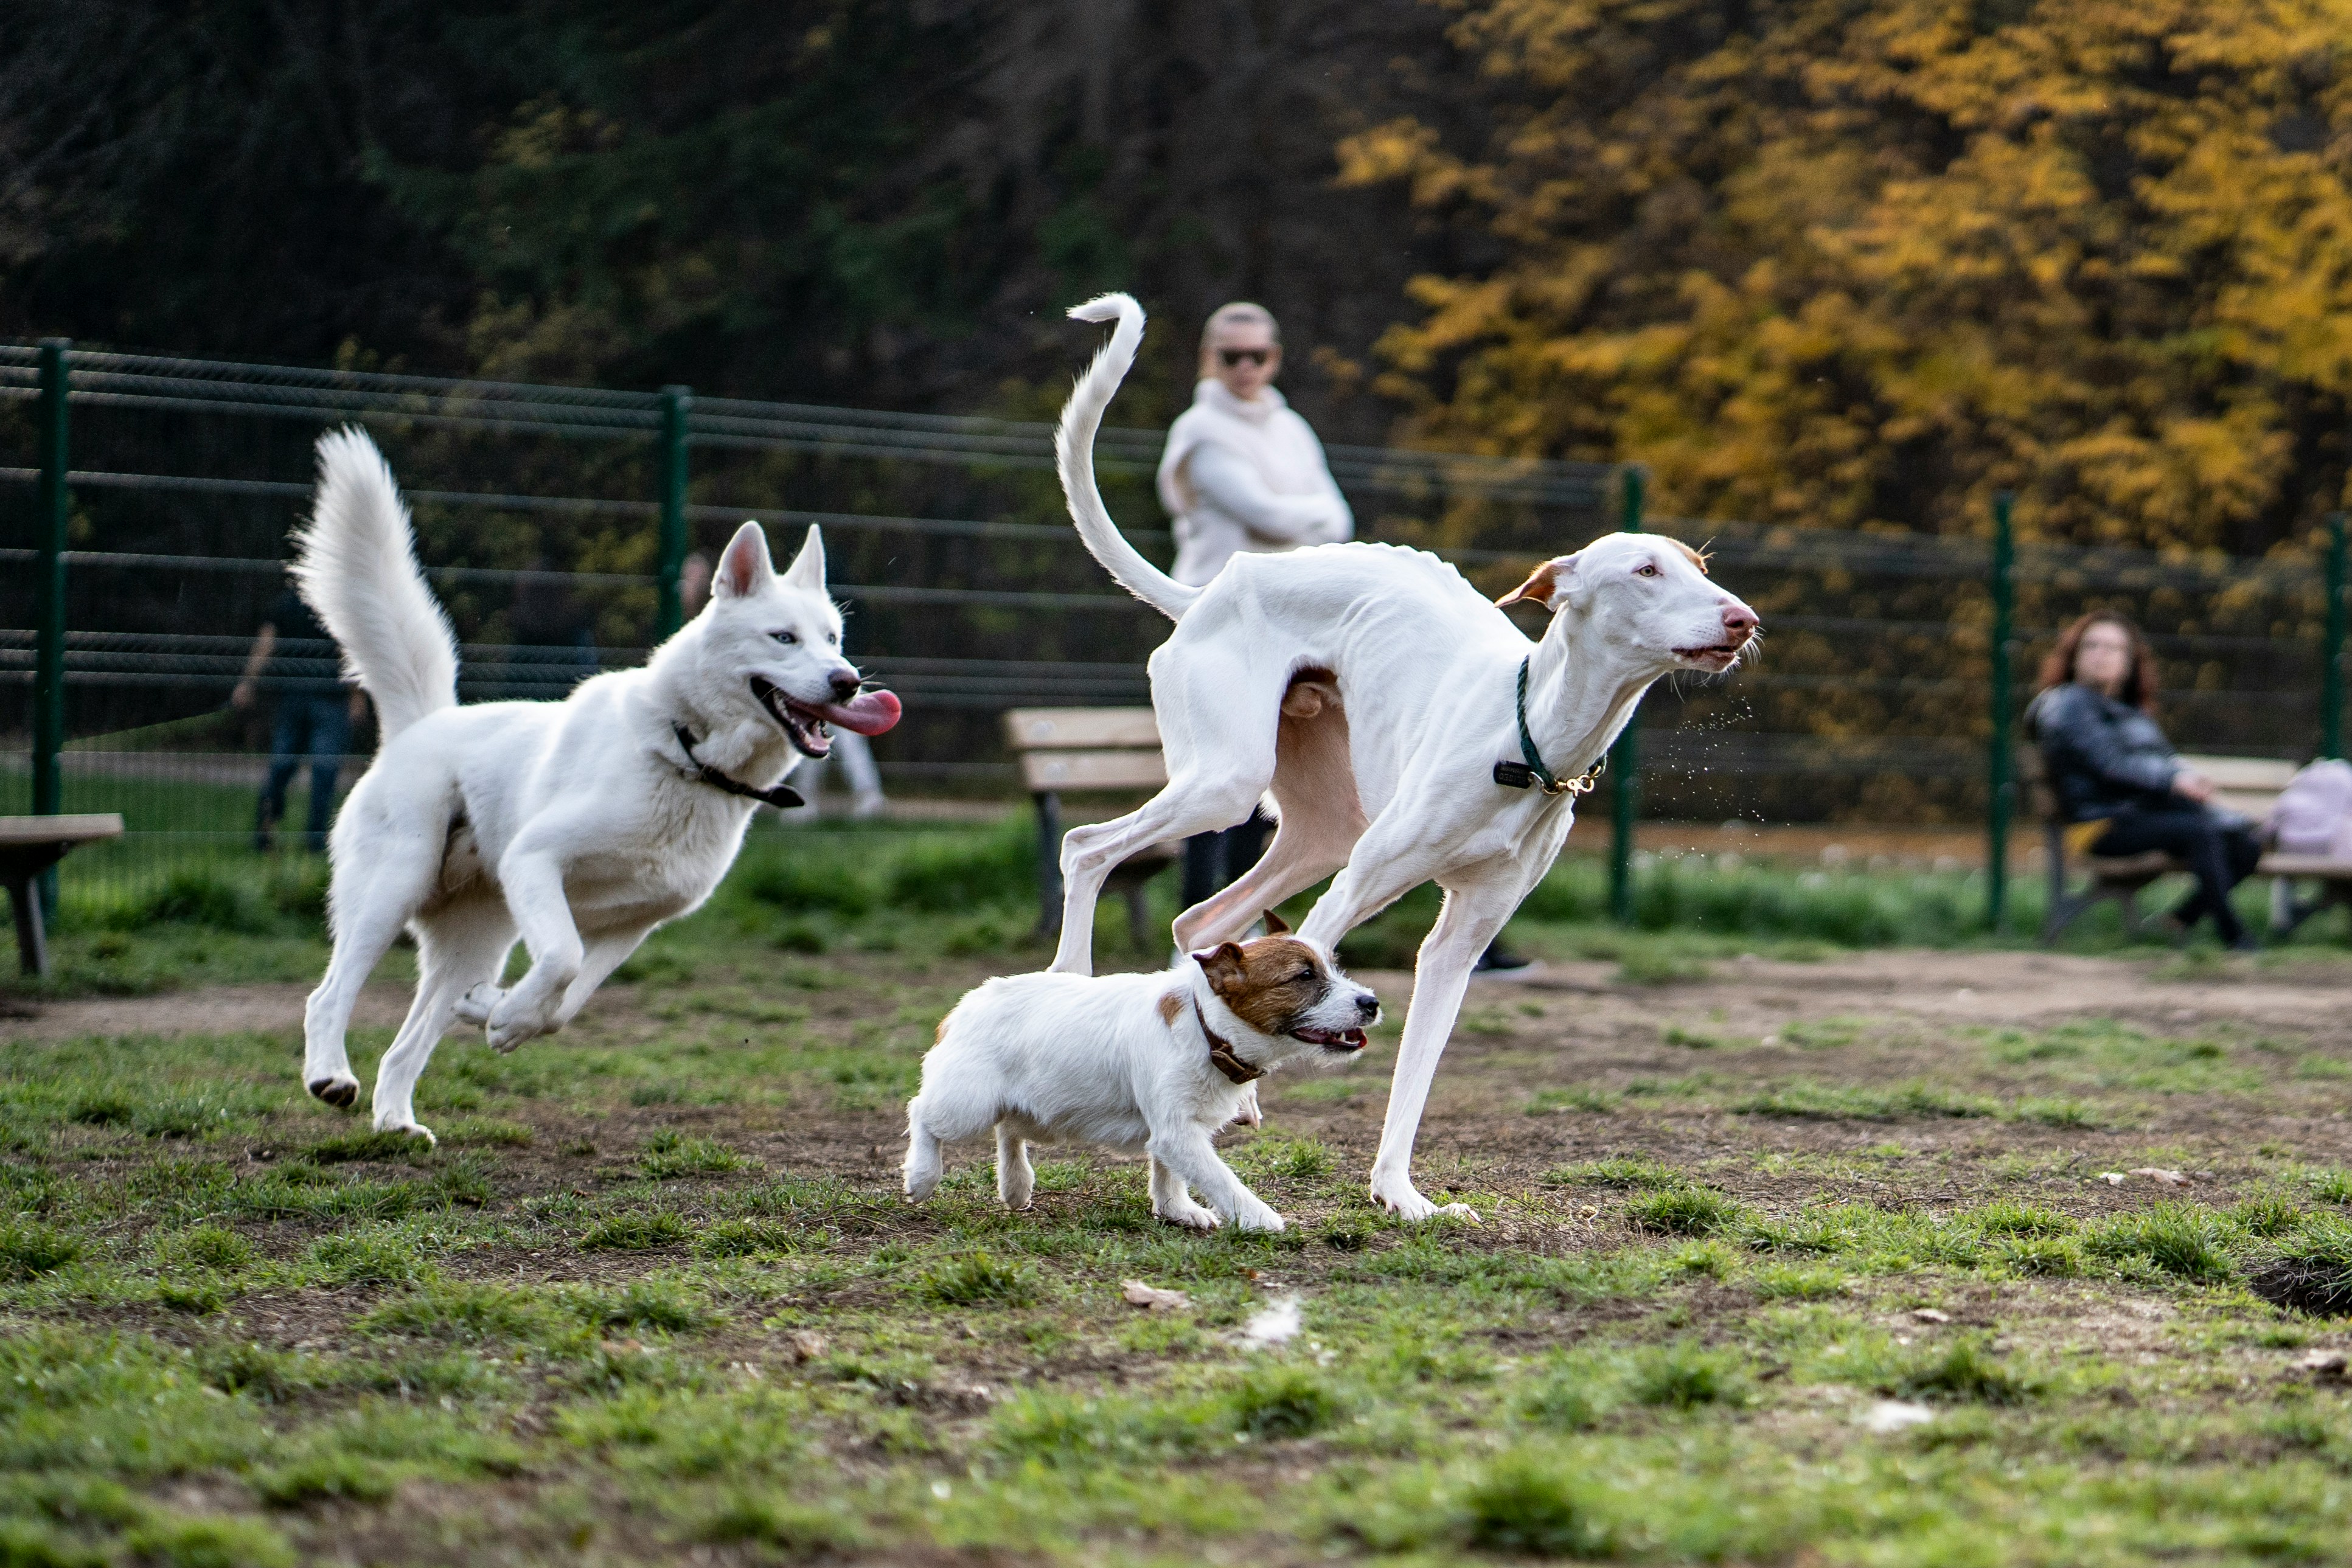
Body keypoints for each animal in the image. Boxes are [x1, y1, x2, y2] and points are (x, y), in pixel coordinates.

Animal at [287, 430, 908, 1142]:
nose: (848, 682)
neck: (686, 755)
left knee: (408, 1042)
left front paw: (496, 1015)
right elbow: (560, 958)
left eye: (832, 637)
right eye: (783, 638)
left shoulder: (632, 925)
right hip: (391, 889)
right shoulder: (537, 862)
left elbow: (564, 1004)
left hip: (477, 940)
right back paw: (330, 1076)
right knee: (327, 996)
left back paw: (397, 1118)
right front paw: (505, 1016)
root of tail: (421, 725)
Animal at [898, 921, 1373, 1241]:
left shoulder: (1176, 1128)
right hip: (966, 1107)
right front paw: (1259, 1217)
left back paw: (1016, 1186)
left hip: (1038, 1112)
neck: (1207, 1027)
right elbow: (1220, 1178)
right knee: (921, 1113)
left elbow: (1169, 1174)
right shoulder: (1178, 1132)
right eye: (1304, 976)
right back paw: (922, 1176)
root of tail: (964, 1007)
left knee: (1009, 1130)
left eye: (1332, 969)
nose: (1371, 1003)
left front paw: (1177, 1209)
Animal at [1053, 294, 1769, 1222]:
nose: (1742, 620)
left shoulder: (1460, 941)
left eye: (1698, 565)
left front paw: (1400, 1194)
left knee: (1199, 924)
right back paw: (1071, 983)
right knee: (1085, 848)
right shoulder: (1353, 892)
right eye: (1645, 569)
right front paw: (1237, 1102)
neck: (1529, 735)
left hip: (1320, 825)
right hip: (1227, 784)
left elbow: (1413, 1079)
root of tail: (1212, 588)